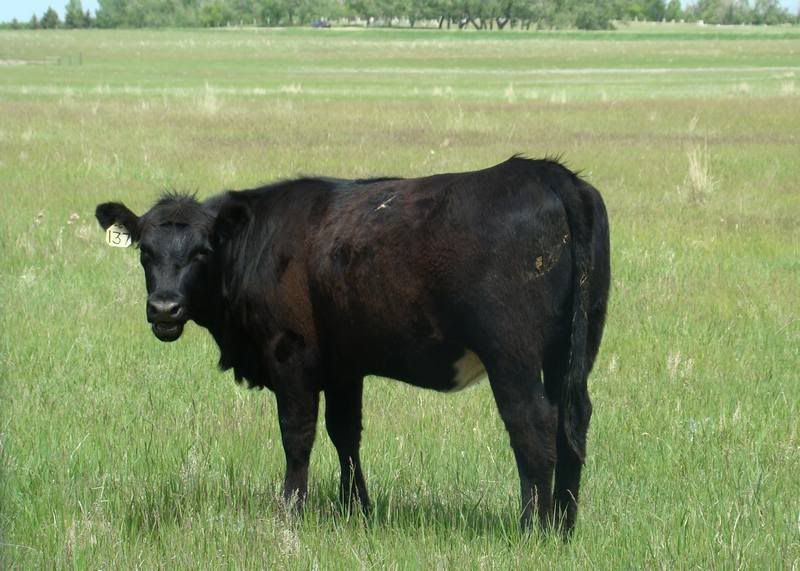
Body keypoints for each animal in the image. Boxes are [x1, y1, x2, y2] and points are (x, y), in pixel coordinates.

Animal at [95, 156, 610, 535]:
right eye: (144, 251)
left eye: (202, 251)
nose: (164, 308)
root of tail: (544, 172)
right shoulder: (344, 365)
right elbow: (346, 433)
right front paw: (355, 509)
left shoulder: (291, 355)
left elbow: (297, 435)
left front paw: (291, 510)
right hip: (572, 350)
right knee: (573, 421)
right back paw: (564, 526)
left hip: (511, 356)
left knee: (533, 424)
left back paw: (532, 529)